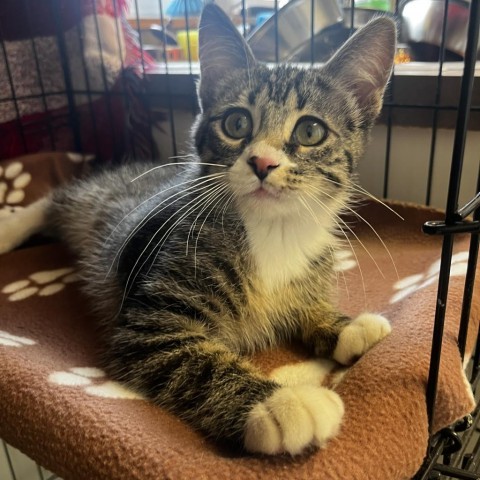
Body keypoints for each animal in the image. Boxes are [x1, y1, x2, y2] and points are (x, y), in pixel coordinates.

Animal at [0, 2, 396, 454]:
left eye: (310, 131)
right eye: (237, 123)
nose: (263, 162)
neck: (271, 229)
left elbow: (307, 307)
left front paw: (346, 326)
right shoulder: (152, 320)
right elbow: (194, 361)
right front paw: (282, 405)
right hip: (98, 200)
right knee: (57, 198)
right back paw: (10, 226)